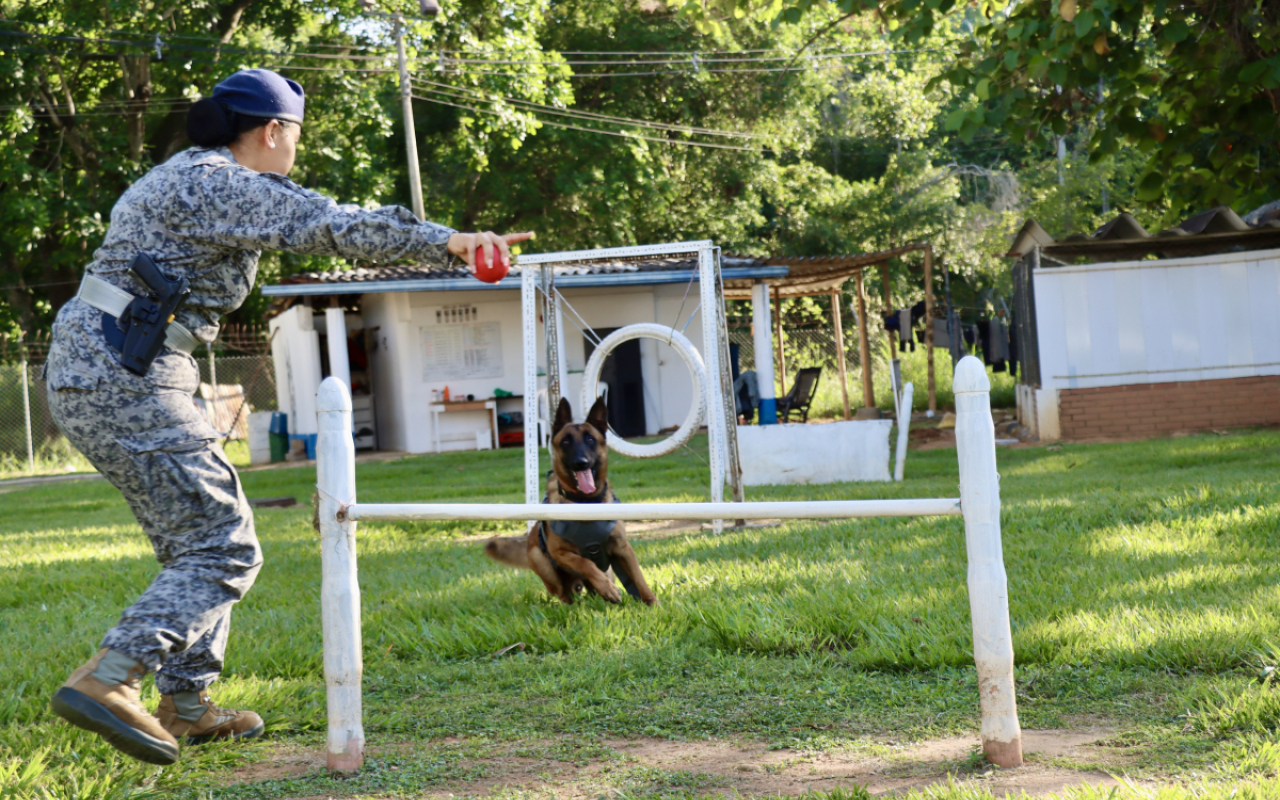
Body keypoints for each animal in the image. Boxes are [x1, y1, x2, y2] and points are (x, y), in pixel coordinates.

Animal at [481, 394, 660, 604]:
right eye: (566, 442)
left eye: (590, 439)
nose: (581, 462)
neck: (586, 503)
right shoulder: (560, 553)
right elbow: (585, 563)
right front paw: (607, 588)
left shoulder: (623, 549)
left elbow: (639, 579)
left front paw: (653, 603)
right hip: (542, 562)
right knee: (564, 592)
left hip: (607, 569)